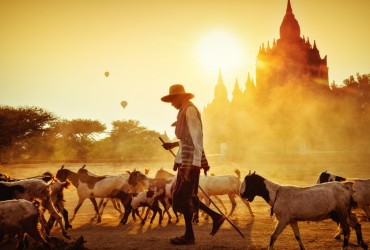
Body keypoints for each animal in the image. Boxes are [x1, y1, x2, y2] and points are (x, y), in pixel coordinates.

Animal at [240, 172, 368, 250]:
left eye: (249, 182)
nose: (241, 194)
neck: (276, 193)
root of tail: (345, 186)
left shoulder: (283, 220)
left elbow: (273, 236)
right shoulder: (292, 220)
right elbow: (298, 236)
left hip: (341, 213)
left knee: (347, 230)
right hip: (342, 213)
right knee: (356, 225)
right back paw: (363, 244)